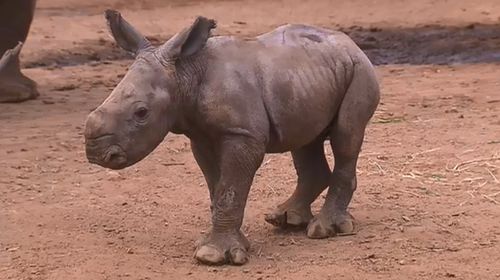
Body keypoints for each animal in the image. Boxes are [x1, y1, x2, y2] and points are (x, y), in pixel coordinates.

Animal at [84, 9, 378, 266]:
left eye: (141, 113)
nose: (95, 153)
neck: (185, 73)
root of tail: (351, 44)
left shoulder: (242, 134)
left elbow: (230, 189)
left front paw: (213, 256)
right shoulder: (201, 136)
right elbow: (217, 187)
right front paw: (216, 244)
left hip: (359, 71)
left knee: (346, 138)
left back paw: (324, 230)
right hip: (307, 77)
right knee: (305, 141)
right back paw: (286, 220)